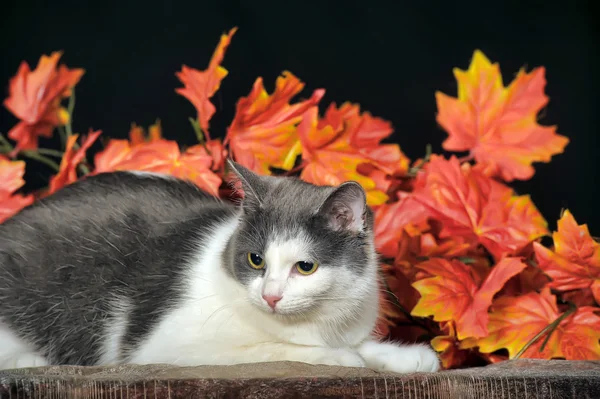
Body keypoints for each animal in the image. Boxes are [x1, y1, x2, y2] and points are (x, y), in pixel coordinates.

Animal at [0, 161, 440, 374]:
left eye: (306, 266)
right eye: (256, 259)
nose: (271, 296)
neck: (311, 322)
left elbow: (358, 344)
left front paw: (405, 357)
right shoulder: (164, 344)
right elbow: (274, 350)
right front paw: (340, 358)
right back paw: (32, 360)